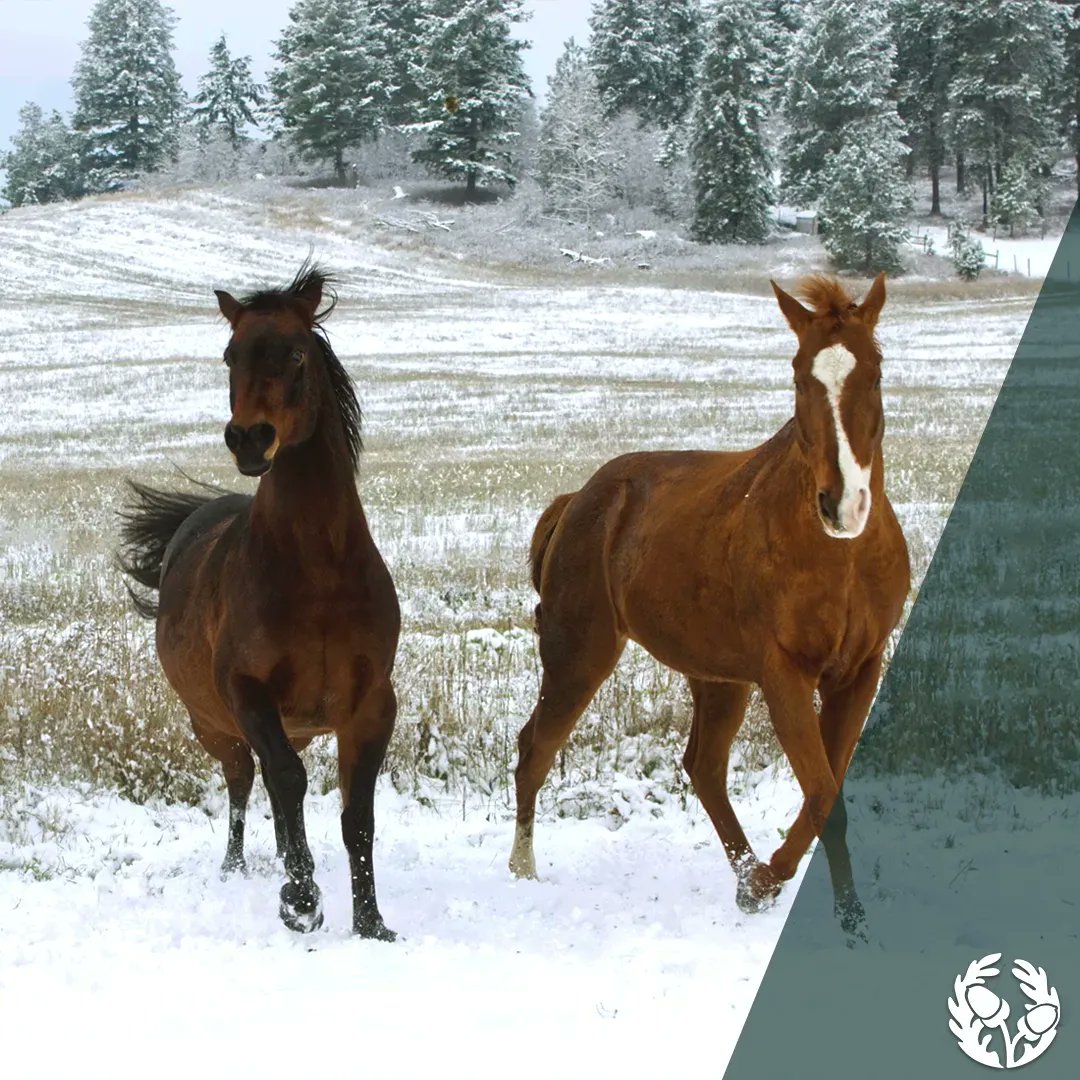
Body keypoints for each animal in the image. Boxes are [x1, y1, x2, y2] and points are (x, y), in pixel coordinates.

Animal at [118, 264, 399, 938]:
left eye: (296, 352)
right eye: (230, 355)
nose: (250, 439)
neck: (318, 574)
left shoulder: (372, 705)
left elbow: (358, 816)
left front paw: (371, 922)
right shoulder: (248, 693)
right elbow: (287, 779)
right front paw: (301, 900)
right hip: (215, 725)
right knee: (249, 782)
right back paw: (241, 868)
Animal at [509, 273, 910, 938]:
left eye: (874, 372)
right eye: (799, 374)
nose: (842, 503)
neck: (842, 557)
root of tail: (578, 499)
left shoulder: (859, 671)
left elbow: (827, 789)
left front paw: (816, 901)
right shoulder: (785, 674)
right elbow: (824, 797)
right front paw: (816, 901)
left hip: (718, 678)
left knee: (704, 768)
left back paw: (748, 877)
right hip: (579, 655)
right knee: (533, 751)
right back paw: (523, 870)